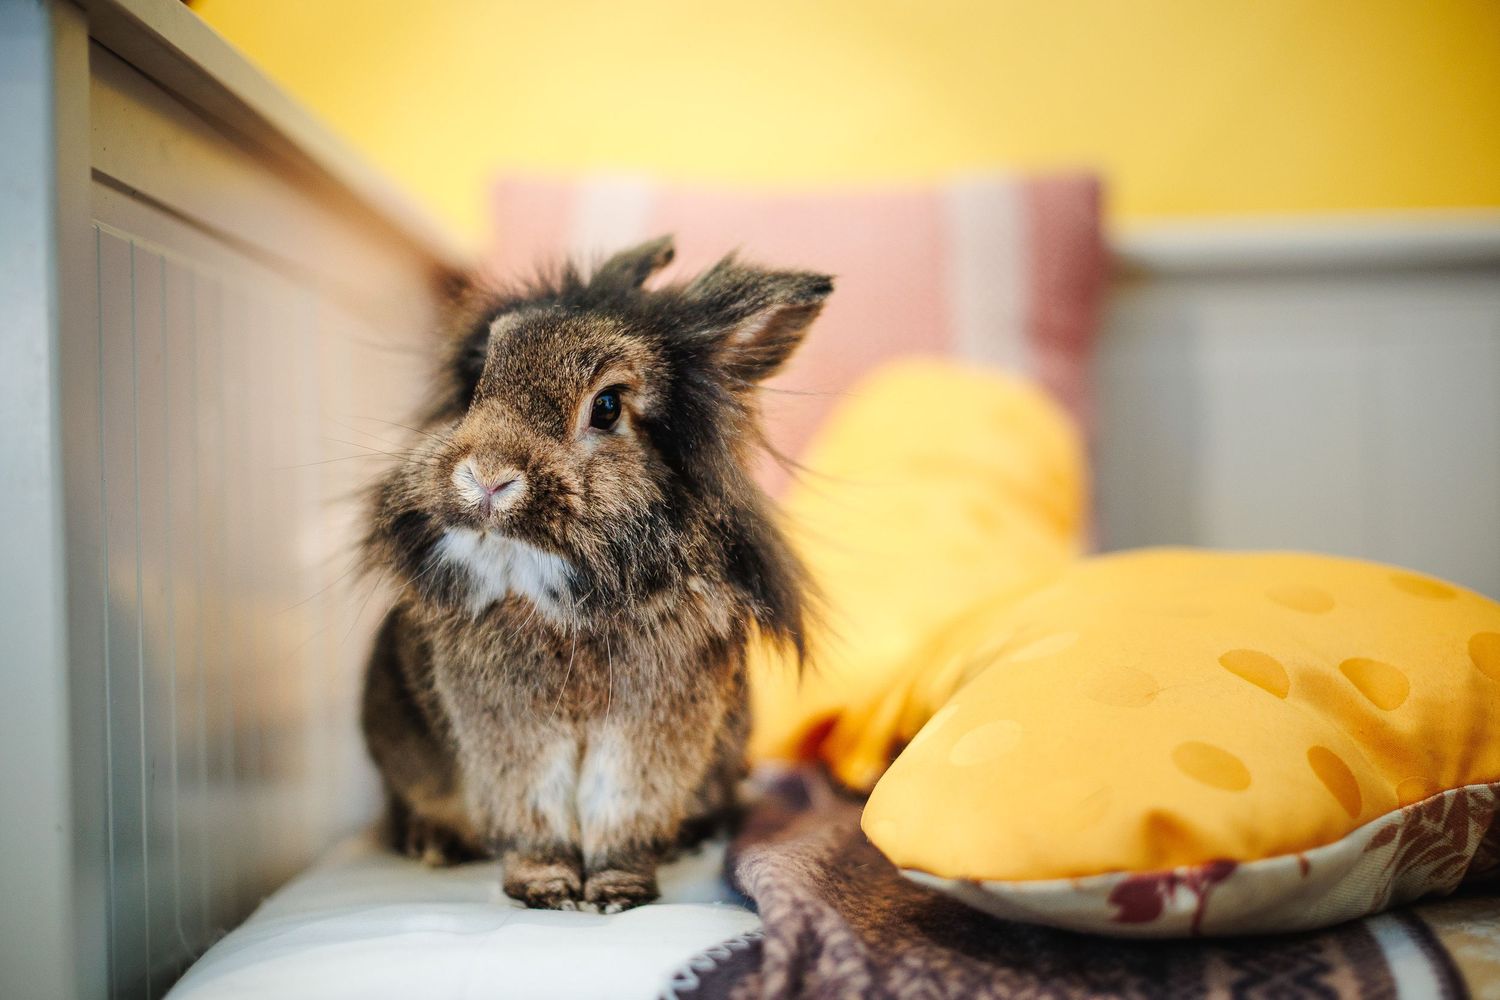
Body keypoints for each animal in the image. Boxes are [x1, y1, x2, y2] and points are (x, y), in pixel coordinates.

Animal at [359, 236, 831, 912]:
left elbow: (621, 817)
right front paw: (547, 891)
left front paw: (614, 894)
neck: (550, 592)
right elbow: (535, 820)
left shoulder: (648, 738)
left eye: (606, 407)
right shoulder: (511, 740)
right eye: (478, 382)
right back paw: (433, 845)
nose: (485, 477)